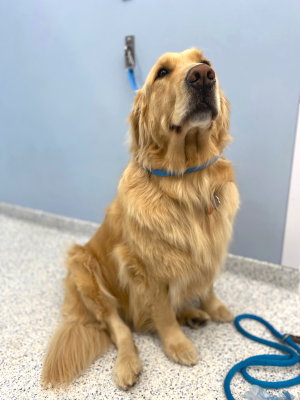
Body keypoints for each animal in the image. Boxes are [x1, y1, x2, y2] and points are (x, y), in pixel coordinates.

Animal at [42, 48, 239, 390]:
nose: (202, 76)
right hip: (84, 270)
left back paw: (194, 314)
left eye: (206, 62)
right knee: (120, 327)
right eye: (162, 72)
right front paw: (177, 344)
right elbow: (161, 313)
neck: (188, 180)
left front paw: (214, 308)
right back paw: (127, 364)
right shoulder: (145, 268)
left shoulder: (210, 248)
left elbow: (208, 285)